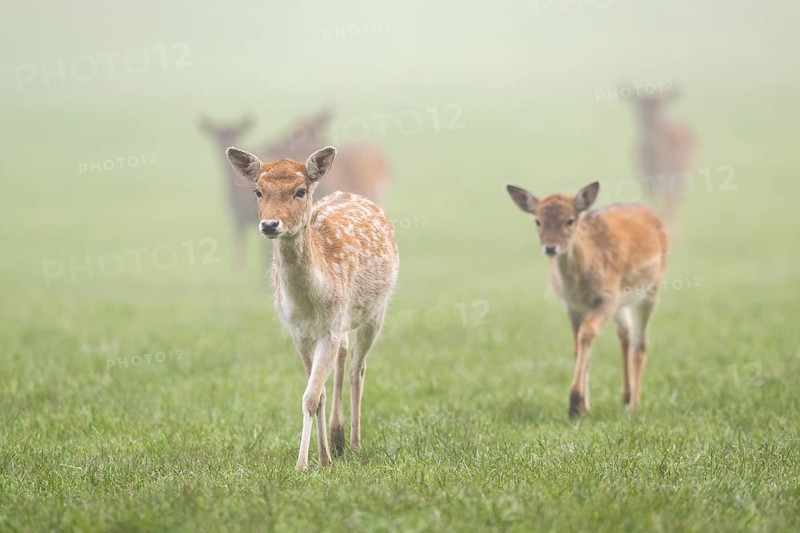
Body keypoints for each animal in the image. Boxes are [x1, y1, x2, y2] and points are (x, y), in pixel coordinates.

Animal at [225, 145, 399, 471]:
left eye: (300, 191)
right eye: (258, 191)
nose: (270, 224)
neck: (311, 300)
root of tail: (355, 195)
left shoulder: (328, 329)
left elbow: (310, 395)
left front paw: (303, 464)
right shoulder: (299, 332)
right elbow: (317, 395)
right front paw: (323, 457)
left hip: (375, 312)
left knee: (358, 367)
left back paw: (354, 443)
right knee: (345, 354)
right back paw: (337, 438)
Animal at [506, 181, 668, 418]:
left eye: (570, 220)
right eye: (537, 220)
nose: (550, 247)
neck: (580, 288)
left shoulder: (609, 298)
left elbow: (587, 334)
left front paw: (574, 404)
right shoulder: (572, 305)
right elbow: (579, 346)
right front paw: (584, 406)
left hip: (651, 289)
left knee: (640, 343)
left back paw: (634, 405)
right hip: (623, 303)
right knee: (625, 333)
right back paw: (625, 395)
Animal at [625, 89, 695, 225]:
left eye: (660, 105)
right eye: (639, 104)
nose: (647, 120)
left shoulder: (670, 181)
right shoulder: (645, 181)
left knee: (675, 206)